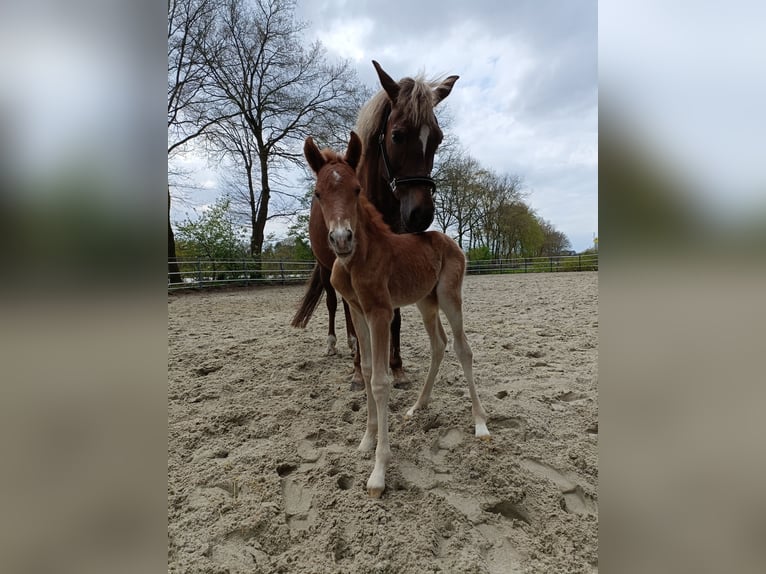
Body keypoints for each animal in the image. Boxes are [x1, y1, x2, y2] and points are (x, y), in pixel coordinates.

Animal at [291, 60, 459, 390]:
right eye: (397, 136)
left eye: (437, 138)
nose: (420, 214)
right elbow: (350, 312)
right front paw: (359, 371)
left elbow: (395, 316)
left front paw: (397, 368)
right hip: (326, 266)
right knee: (336, 305)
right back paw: (338, 346)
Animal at [304, 131, 490, 498]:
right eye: (318, 193)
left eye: (357, 189)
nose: (342, 239)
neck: (359, 258)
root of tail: (451, 239)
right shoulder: (358, 311)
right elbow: (364, 369)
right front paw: (366, 440)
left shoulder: (381, 312)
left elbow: (380, 380)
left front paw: (378, 472)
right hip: (425, 302)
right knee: (438, 344)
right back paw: (418, 406)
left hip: (449, 297)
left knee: (462, 348)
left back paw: (480, 424)